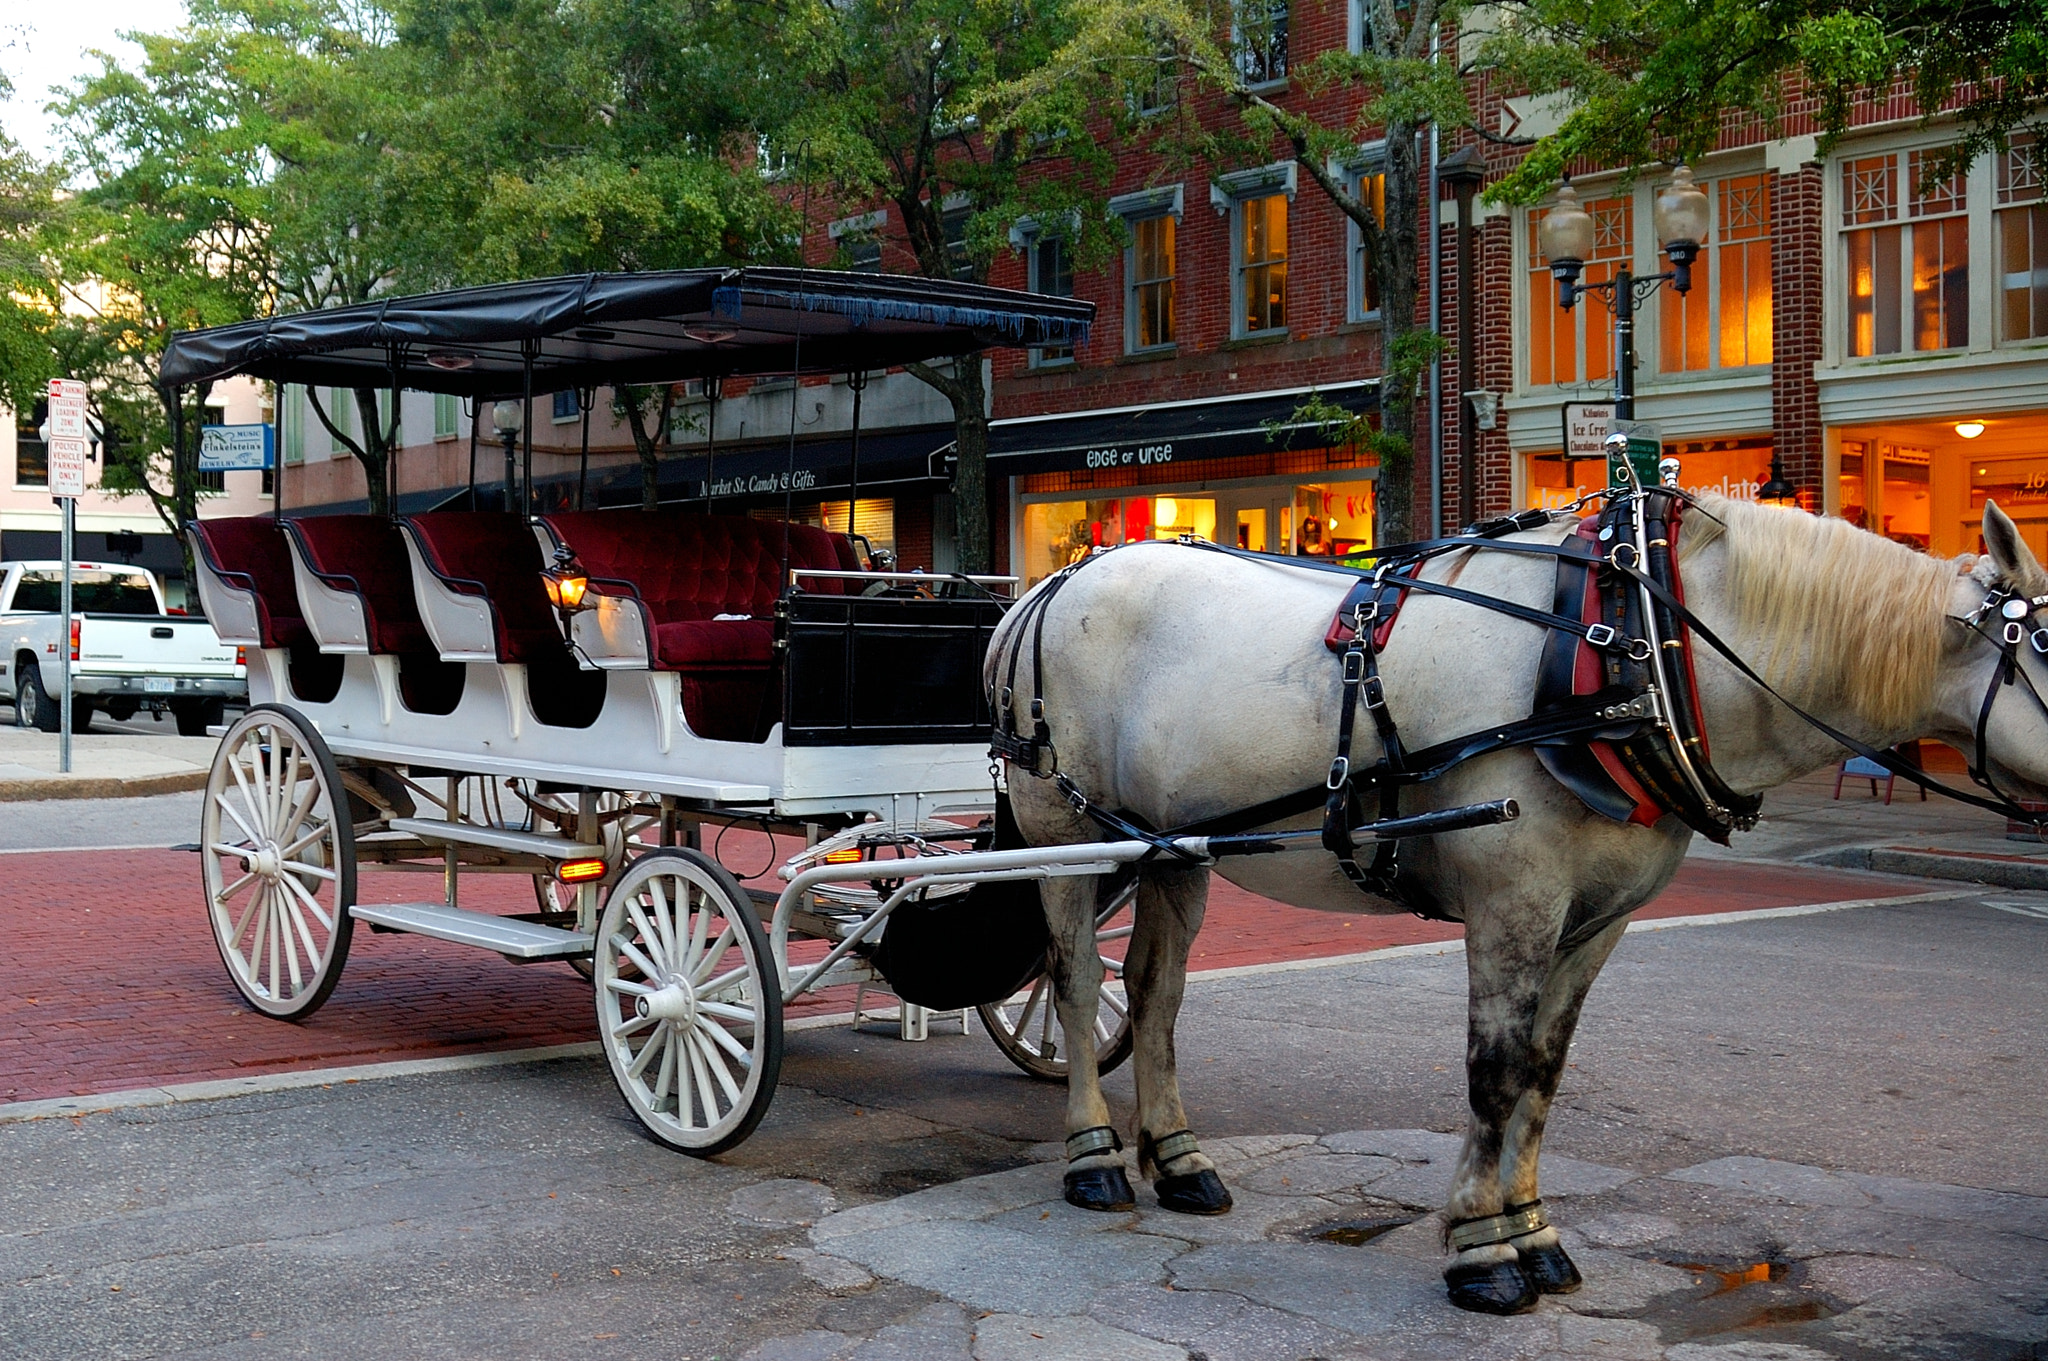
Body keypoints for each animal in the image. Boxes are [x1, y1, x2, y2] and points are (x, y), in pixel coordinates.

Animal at [989, 494, 2048, 1315]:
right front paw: (1483, 1249)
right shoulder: (1514, 900)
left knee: (1155, 992)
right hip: (1063, 826)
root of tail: (1047, 587)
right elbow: (1493, 1072)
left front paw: (1533, 1231)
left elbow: (1542, 1072)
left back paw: (1179, 1159)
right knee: (1077, 982)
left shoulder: (1598, 918)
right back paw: (1093, 1157)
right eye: (2043, 641)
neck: (1630, 648)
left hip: (1168, 846)